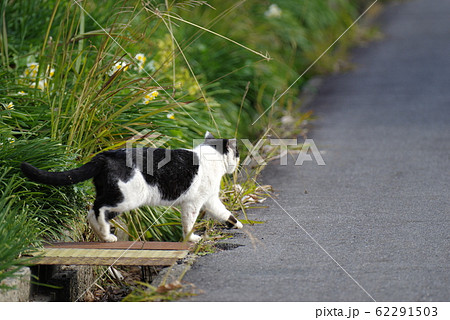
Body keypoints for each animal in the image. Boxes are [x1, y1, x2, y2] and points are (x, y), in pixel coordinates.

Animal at [20, 131, 243, 241]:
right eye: (237, 152)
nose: (238, 162)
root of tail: (105, 155)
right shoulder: (193, 203)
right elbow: (189, 222)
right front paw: (191, 238)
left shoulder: (210, 200)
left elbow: (224, 212)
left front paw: (238, 224)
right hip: (127, 198)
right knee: (99, 208)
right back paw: (105, 233)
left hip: (113, 194)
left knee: (91, 212)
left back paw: (105, 236)